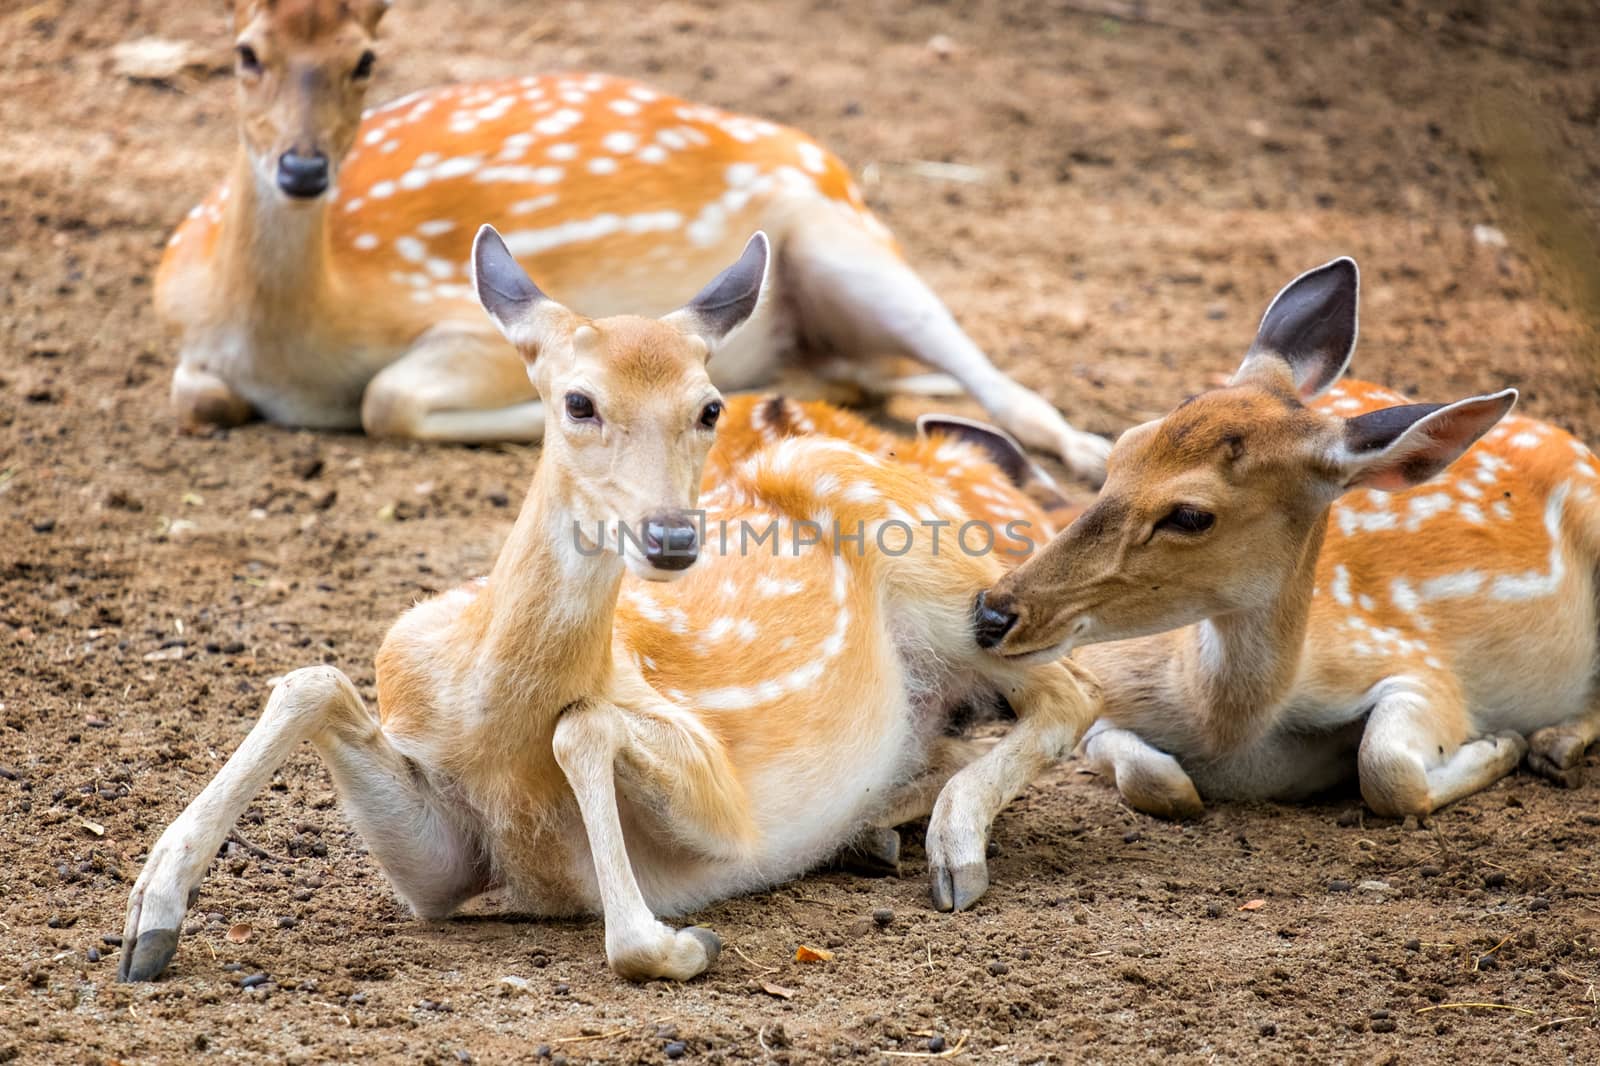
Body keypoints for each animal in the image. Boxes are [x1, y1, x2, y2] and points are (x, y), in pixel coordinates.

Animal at [121, 228, 1100, 985]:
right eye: (578, 400)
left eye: (709, 406)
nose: (669, 538)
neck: (490, 730)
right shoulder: (439, 871)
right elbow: (312, 679)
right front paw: (147, 920)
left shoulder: (725, 801)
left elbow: (583, 729)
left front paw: (680, 943)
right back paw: (882, 832)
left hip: (950, 580)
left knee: (1075, 693)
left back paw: (949, 848)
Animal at [162, 0, 1113, 476]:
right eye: (243, 52)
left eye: (364, 59)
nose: (303, 168)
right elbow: (198, 397)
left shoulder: (470, 321)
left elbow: (384, 399)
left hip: (848, 247)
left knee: (1008, 392)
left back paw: (1098, 455)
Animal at [966, 256, 1600, 813]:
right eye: (1122, 447)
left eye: (1190, 515)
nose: (993, 612)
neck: (1227, 733)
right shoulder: (1108, 692)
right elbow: (1159, 780)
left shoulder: (1420, 666)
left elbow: (1386, 768)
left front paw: (1499, 742)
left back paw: (1554, 742)